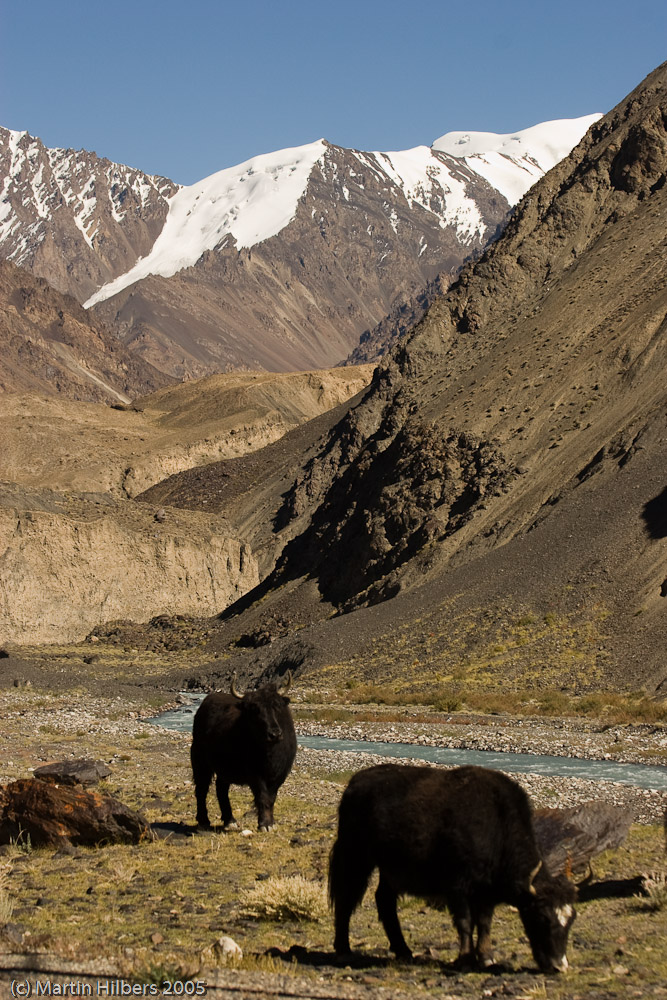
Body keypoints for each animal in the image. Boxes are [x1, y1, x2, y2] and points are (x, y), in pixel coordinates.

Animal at [190, 671, 296, 832]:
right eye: (255, 710)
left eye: (277, 706)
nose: (275, 734)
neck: (270, 753)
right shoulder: (255, 774)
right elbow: (263, 797)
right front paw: (265, 825)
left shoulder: (279, 775)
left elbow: (271, 798)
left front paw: (271, 823)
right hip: (201, 762)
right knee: (201, 789)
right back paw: (203, 821)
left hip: (223, 769)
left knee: (221, 789)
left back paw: (230, 820)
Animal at [329, 764, 576, 973]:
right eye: (542, 917)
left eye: (571, 920)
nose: (558, 966)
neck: (497, 828)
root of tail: (353, 783)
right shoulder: (458, 886)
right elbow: (465, 922)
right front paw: (465, 959)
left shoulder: (486, 894)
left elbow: (484, 923)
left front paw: (486, 957)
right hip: (357, 857)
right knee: (345, 899)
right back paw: (344, 951)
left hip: (390, 870)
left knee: (384, 901)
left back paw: (404, 951)